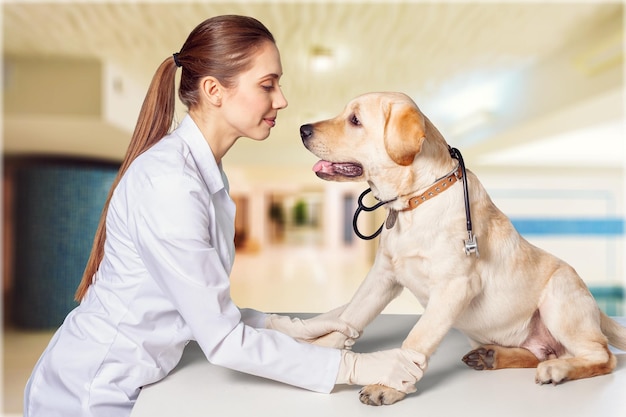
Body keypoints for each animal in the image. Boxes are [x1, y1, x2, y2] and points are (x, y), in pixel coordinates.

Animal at [298, 92, 624, 404]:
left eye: (355, 120)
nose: (302, 129)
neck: (417, 199)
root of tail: (597, 309)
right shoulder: (383, 276)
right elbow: (349, 318)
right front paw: (317, 350)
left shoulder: (454, 286)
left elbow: (417, 339)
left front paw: (388, 385)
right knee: (542, 353)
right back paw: (492, 356)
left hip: (558, 299)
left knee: (602, 356)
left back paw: (557, 369)